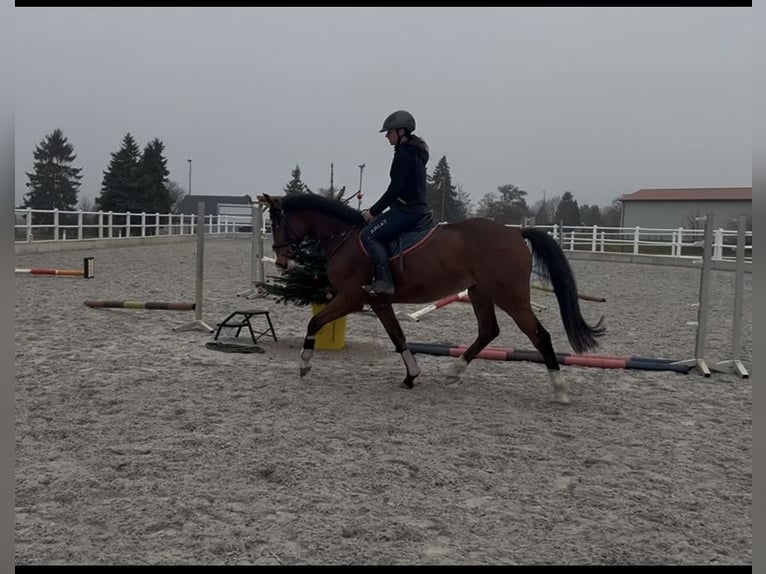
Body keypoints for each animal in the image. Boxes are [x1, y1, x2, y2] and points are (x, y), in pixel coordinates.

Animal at [258, 193, 605, 404]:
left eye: (276, 222)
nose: (282, 261)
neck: (345, 237)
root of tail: (514, 232)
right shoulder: (378, 301)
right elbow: (398, 336)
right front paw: (411, 376)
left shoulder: (352, 298)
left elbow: (315, 321)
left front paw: (304, 364)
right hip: (481, 293)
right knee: (488, 331)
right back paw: (454, 372)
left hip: (510, 296)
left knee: (538, 335)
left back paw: (560, 390)